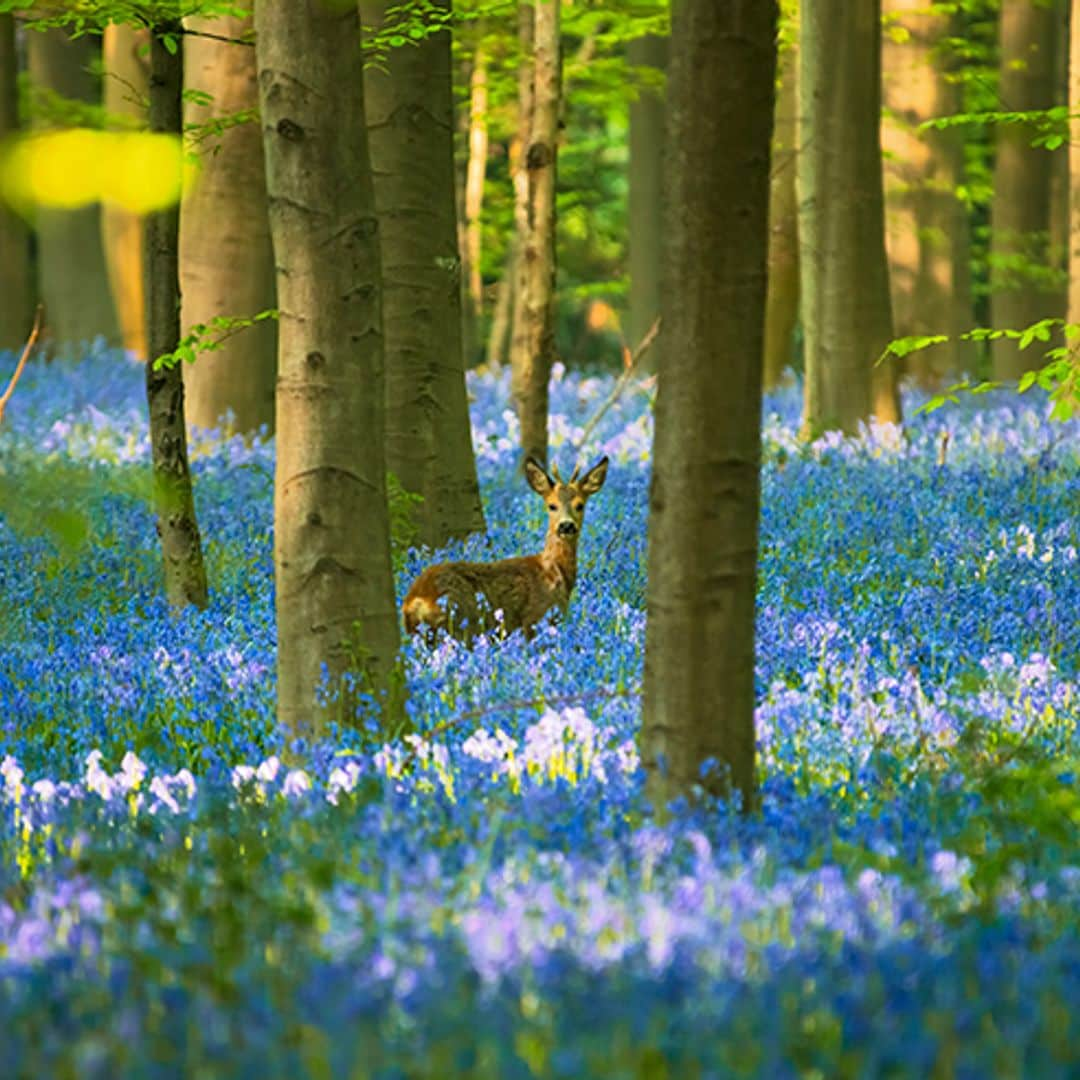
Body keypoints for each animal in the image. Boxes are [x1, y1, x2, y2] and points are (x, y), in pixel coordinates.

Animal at [403, 455, 609, 639]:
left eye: (580, 505)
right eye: (552, 505)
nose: (566, 525)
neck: (555, 571)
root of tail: (417, 598)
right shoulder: (535, 617)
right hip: (462, 623)